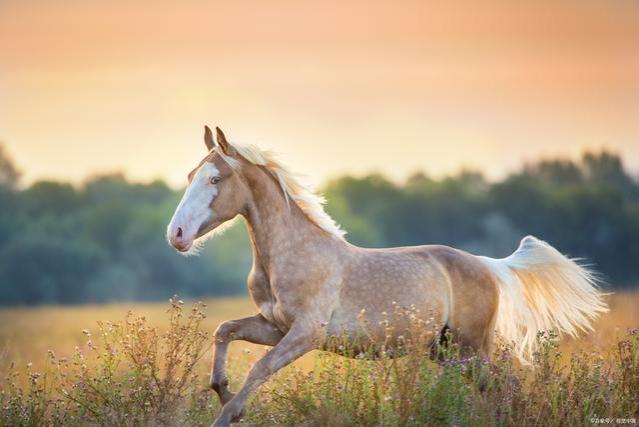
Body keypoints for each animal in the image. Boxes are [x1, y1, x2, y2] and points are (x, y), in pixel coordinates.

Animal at [168, 125, 608, 426]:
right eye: (190, 176)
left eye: (215, 178)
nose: (176, 234)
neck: (292, 255)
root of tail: (487, 263)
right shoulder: (274, 327)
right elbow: (224, 331)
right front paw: (223, 392)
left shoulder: (306, 333)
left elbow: (259, 369)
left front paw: (230, 413)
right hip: (445, 350)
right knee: (496, 390)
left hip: (471, 347)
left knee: (506, 388)